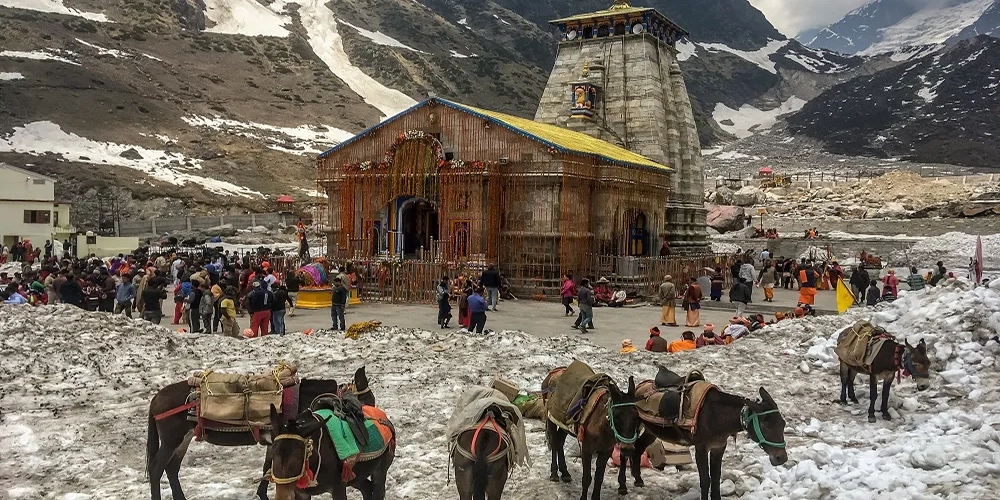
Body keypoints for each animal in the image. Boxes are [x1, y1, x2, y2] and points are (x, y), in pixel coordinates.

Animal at [145, 364, 372, 500]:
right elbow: (270, 467)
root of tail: (156, 398)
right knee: (157, 469)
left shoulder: (276, 440)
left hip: (183, 439)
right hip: (171, 440)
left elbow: (267, 467)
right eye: (366, 401)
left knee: (171, 468)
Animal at [268, 394, 396, 500]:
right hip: (356, 475)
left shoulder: (338, 488)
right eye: (272, 454)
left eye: (299, 456)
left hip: (380, 469)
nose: (282, 497)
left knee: (378, 491)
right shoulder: (301, 492)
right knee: (367, 489)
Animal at [544, 372, 636, 500]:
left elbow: (599, 478)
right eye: (616, 416)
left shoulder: (606, 451)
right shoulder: (587, 449)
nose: (627, 449)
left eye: (636, 417)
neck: (603, 425)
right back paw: (554, 474)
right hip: (552, 420)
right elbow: (587, 478)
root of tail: (554, 374)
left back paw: (565, 473)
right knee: (554, 443)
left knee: (559, 443)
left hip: (564, 426)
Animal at [616, 376, 788, 500]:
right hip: (631, 427)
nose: (782, 458)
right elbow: (705, 480)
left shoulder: (719, 447)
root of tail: (639, 386)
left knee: (638, 449)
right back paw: (623, 486)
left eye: (783, 424)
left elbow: (716, 479)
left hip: (651, 431)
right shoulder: (701, 448)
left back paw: (638, 479)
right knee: (625, 451)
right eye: (766, 425)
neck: (717, 415)